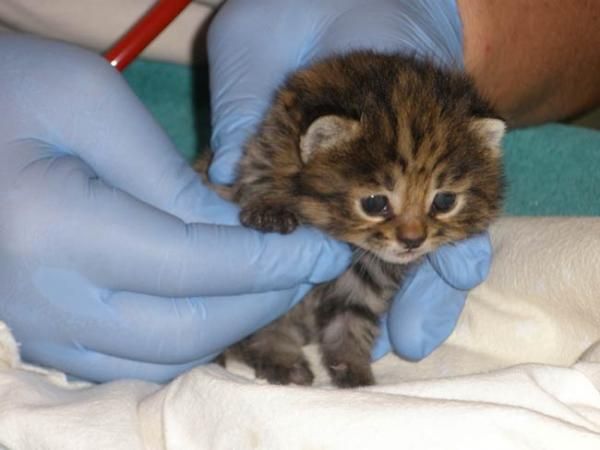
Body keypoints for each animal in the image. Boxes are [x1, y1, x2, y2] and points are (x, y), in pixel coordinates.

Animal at [200, 48, 502, 386]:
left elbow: (352, 322)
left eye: (445, 201)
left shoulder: (364, 282)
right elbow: (268, 323)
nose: (413, 240)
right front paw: (282, 358)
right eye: (375, 204)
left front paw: (354, 373)